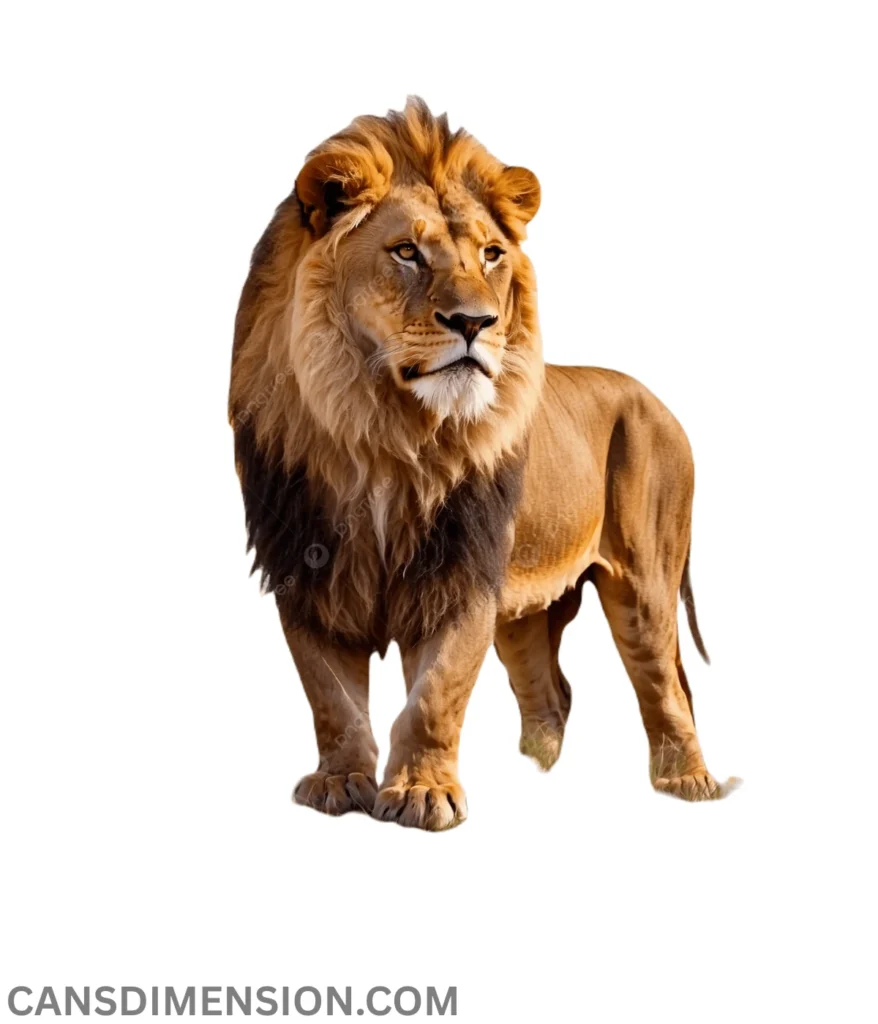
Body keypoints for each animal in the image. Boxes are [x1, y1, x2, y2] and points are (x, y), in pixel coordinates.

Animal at [229, 98, 736, 830]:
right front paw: (340, 783)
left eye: (491, 255)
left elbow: (436, 692)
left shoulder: (463, 571)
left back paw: (689, 783)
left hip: (644, 581)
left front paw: (421, 793)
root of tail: (661, 402)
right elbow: (332, 697)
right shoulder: (305, 565)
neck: (383, 432)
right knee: (551, 691)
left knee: (665, 683)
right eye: (406, 252)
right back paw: (540, 773)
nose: (476, 322)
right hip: (527, 611)